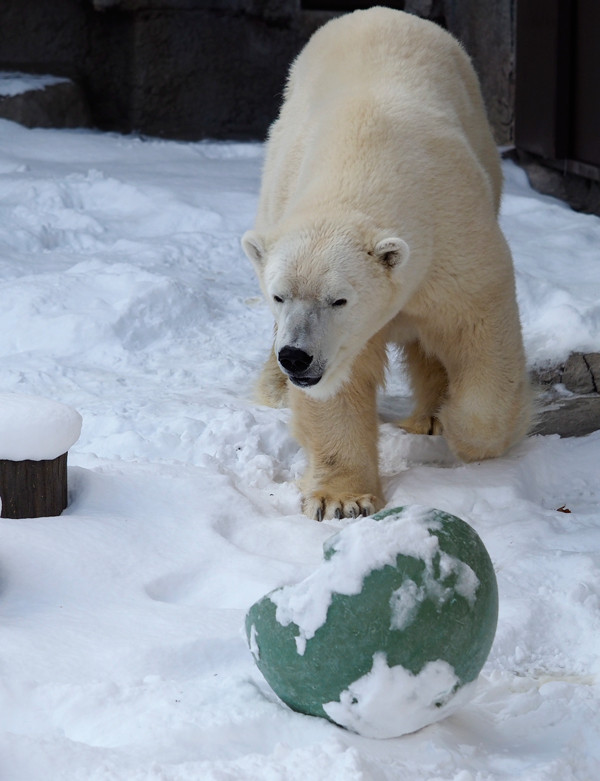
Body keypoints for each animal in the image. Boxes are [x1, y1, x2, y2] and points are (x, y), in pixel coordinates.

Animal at [241, 6, 532, 520]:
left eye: (338, 299)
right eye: (278, 295)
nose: (296, 356)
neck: (366, 157)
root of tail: (378, 12)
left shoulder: (454, 241)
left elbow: (478, 335)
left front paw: (456, 422)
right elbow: (339, 384)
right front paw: (341, 499)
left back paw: (430, 415)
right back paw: (273, 388)